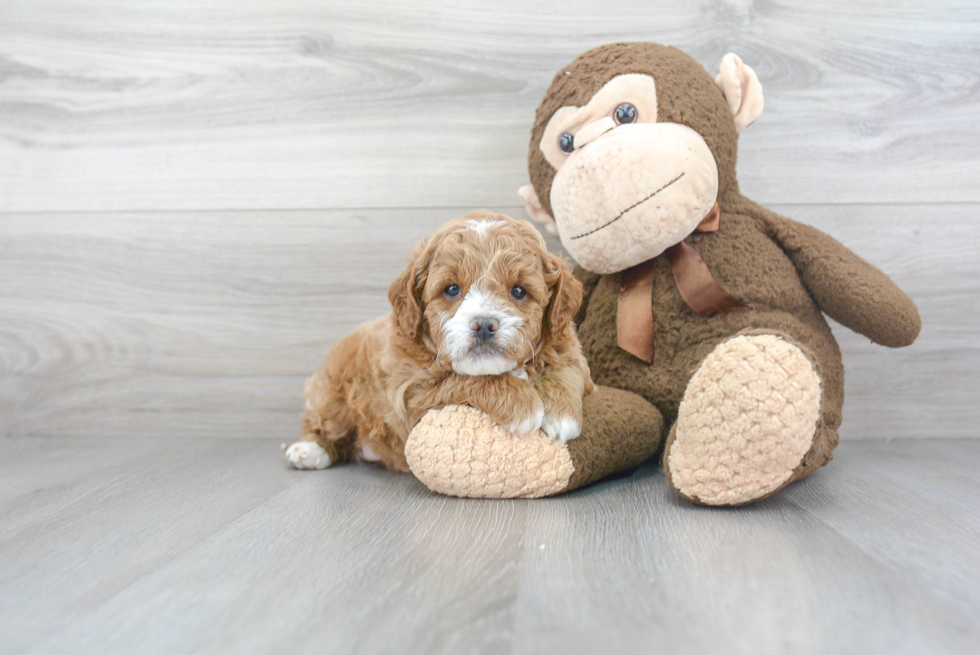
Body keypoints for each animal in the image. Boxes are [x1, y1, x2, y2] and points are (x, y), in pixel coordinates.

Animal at [280, 210, 592, 472]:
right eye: (452, 289)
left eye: (518, 291)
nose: (484, 325)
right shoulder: (410, 394)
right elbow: (463, 379)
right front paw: (522, 405)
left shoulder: (571, 350)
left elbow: (568, 369)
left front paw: (562, 415)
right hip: (331, 394)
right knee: (325, 425)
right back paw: (308, 450)